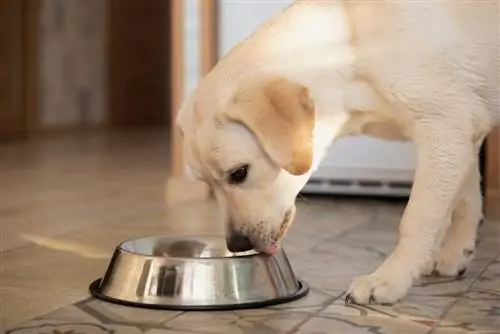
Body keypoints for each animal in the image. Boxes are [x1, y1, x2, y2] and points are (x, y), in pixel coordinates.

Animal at [175, 0, 496, 306]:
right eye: (208, 184)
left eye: (239, 173)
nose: (237, 245)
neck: (351, 47)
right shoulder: (462, 134)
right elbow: (466, 201)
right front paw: (454, 255)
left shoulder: (446, 126)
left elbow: (417, 219)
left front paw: (390, 280)